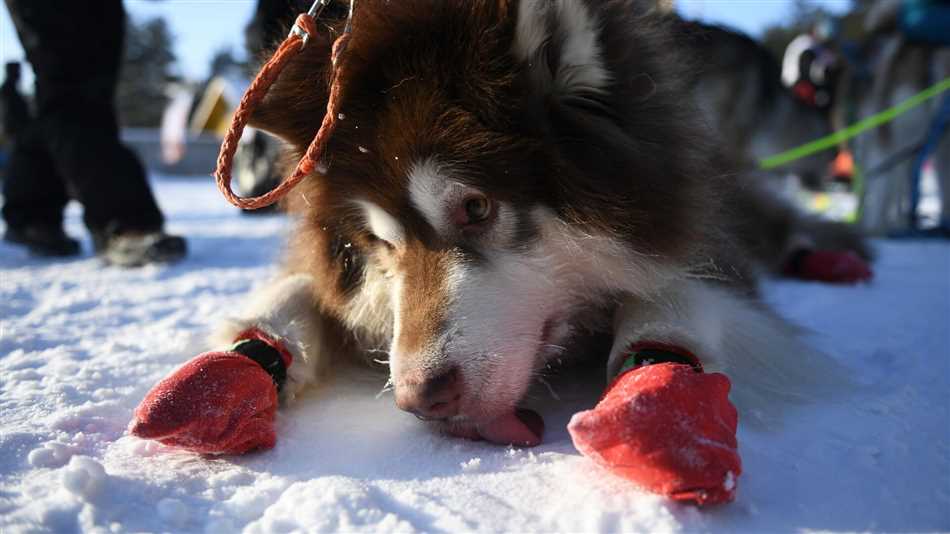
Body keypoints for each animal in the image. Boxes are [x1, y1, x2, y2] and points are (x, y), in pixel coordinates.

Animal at [214, 0, 872, 448]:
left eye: (476, 207)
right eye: (379, 241)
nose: (419, 400)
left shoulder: (697, 235)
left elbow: (671, 293)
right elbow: (303, 290)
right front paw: (249, 350)